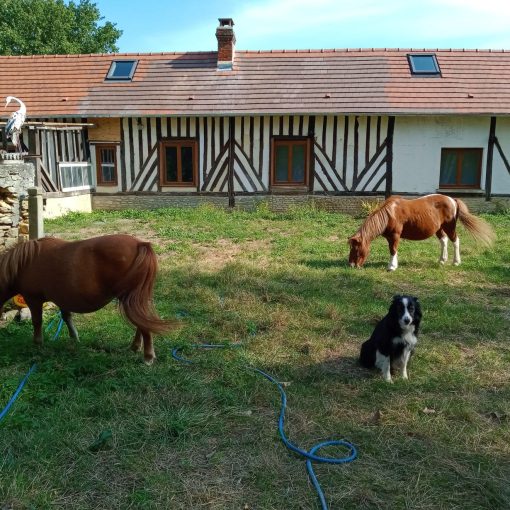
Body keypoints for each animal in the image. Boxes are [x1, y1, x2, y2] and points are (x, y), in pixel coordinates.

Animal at [0, 235, 173, 362]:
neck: (24, 263)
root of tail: (140, 244)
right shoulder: (62, 298)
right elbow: (67, 317)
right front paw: (74, 339)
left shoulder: (33, 299)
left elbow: (37, 322)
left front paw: (38, 345)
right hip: (135, 299)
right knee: (142, 322)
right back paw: (135, 347)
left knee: (143, 324)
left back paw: (148, 357)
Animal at [346, 192, 494, 270]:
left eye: (356, 249)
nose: (352, 265)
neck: (390, 214)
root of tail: (452, 200)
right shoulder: (390, 237)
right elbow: (393, 250)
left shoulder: (395, 236)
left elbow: (393, 250)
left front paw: (392, 267)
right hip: (439, 228)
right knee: (444, 241)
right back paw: (442, 260)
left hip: (450, 227)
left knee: (455, 241)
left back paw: (456, 262)